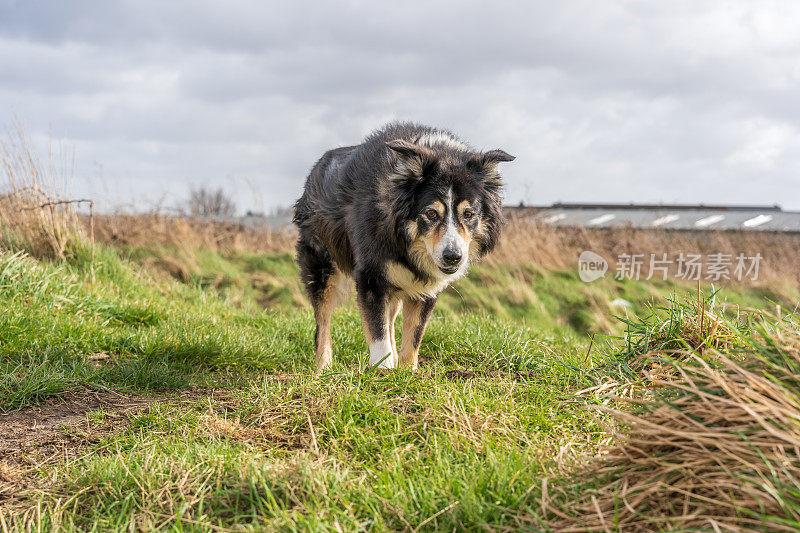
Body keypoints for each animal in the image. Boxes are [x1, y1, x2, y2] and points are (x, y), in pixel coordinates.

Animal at [294, 122, 512, 370]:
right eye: (430, 213)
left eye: (468, 214)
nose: (452, 257)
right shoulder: (371, 276)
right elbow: (377, 332)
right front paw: (384, 370)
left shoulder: (425, 289)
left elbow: (414, 335)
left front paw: (407, 371)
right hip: (322, 264)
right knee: (323, 321)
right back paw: (324, 368)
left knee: (389, 318)